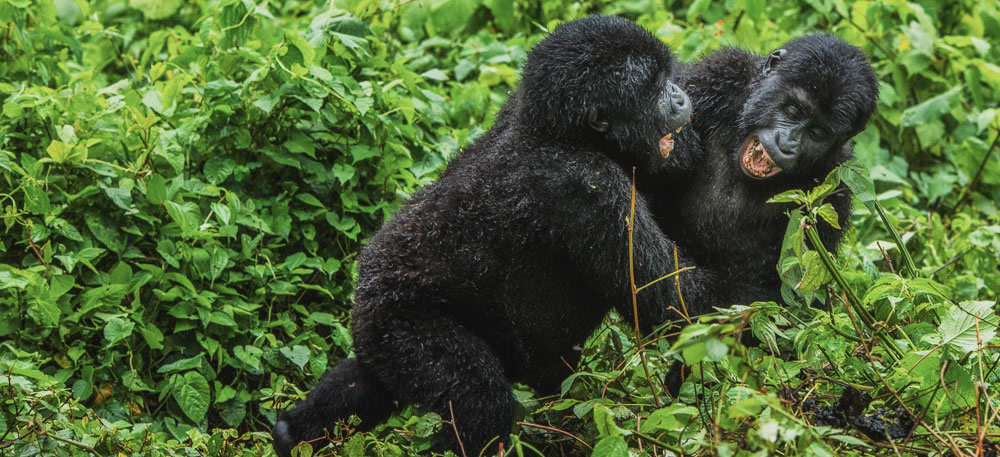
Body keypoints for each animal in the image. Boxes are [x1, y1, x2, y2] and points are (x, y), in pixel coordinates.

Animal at [270, 16, 700, 454]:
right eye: (656, 89)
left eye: (667, 79)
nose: (679, 96)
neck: (559, 132)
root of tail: (363, 285)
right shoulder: (591, 188)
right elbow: (671, 300)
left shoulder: (518, 102)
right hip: (398, 319)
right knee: (479, 402)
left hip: (381, 333)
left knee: (370, 379)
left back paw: (292, 432)